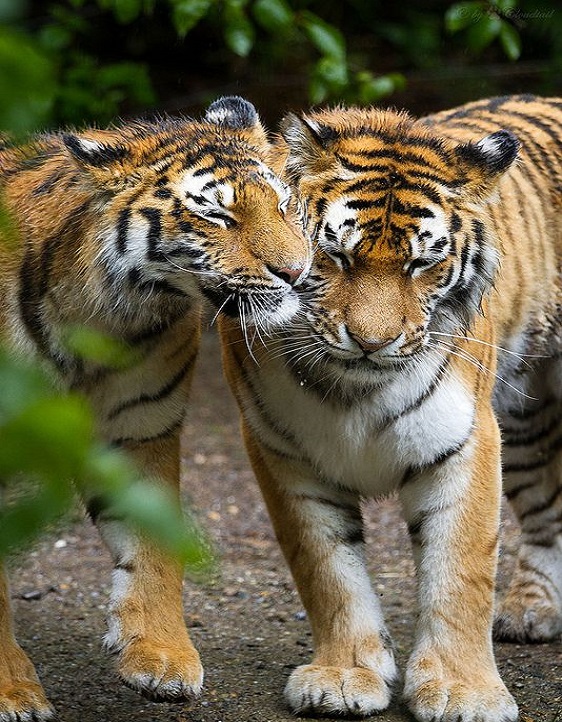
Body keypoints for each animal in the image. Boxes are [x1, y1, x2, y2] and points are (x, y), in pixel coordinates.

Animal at [0, 97, 308, 720]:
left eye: (285, 205)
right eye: (218, 215)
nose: (297, 272)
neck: (97, 320)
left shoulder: (138, 430)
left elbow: (154, 545)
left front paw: (161, 656)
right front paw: (12, 690)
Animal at [219, 93, 560, 716]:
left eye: (421, 264)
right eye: (335, 256)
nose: (371, 342)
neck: (354, 387)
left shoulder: (465, 442)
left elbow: (460, 571)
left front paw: (463, 690)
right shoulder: (282, 451)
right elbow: (326, 569)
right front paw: (344, 675)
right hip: (525, 421)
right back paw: (533, 608)